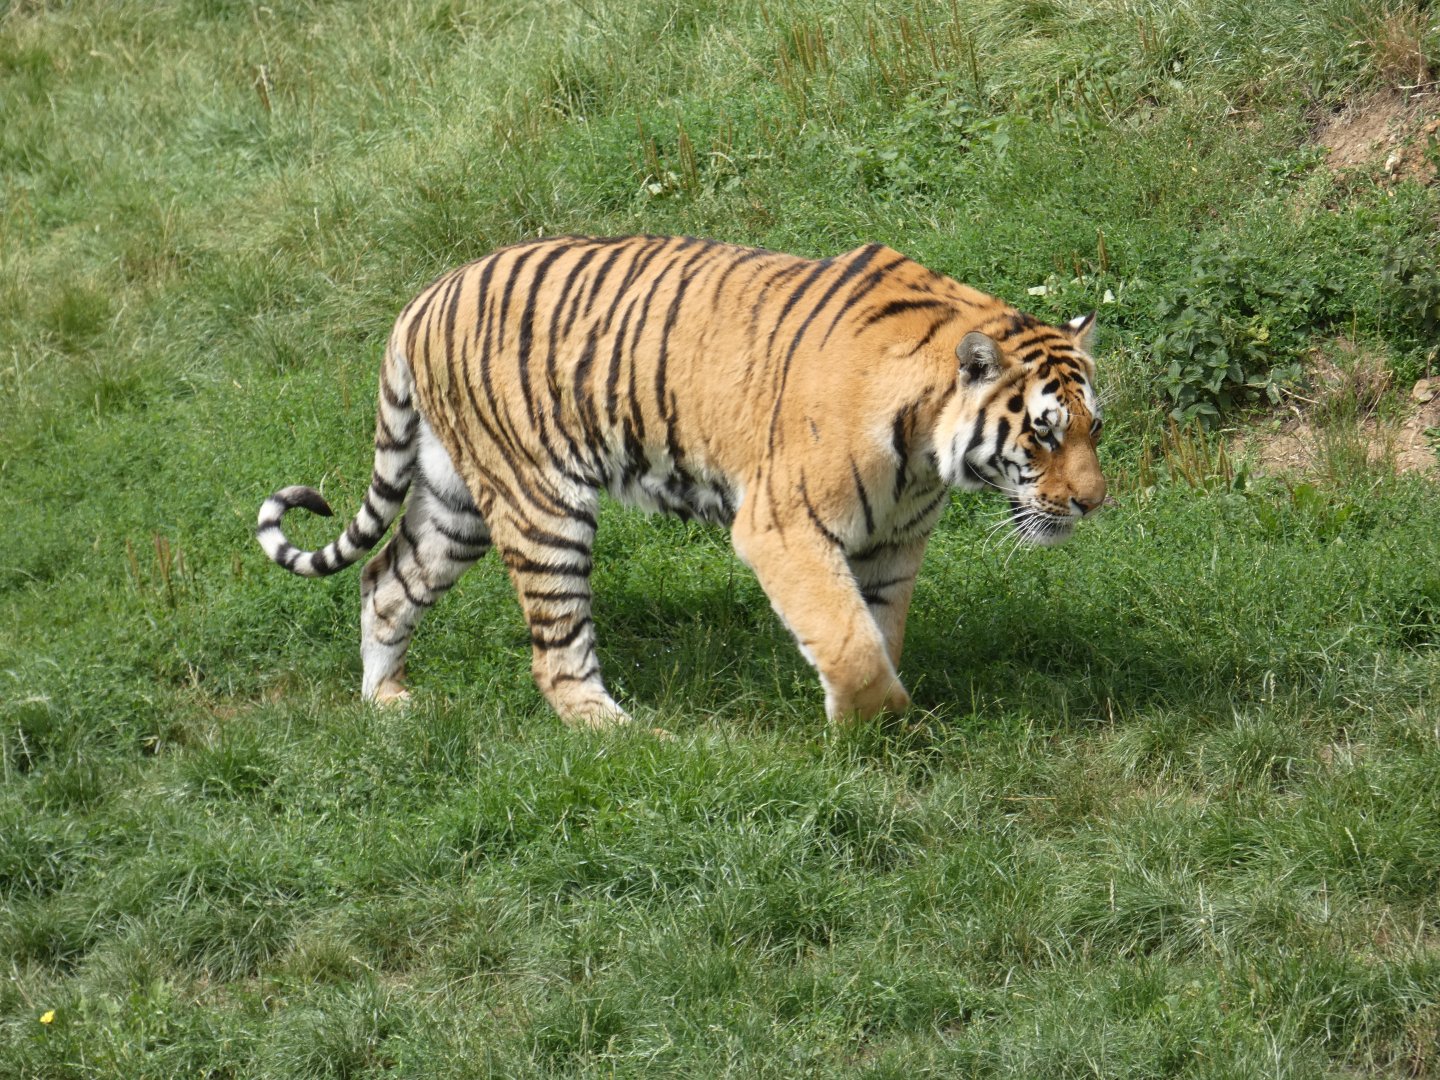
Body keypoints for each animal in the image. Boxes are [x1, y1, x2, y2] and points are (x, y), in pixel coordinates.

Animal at [256, 235, 1106, 727]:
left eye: (1093, 427)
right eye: (1042, 430)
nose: (1095, 503)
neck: (928, 451)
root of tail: (420, 301)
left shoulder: (893, 544)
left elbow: (876, 631)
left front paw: (881, 725)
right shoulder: (783, 526)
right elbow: (849, 640)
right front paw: (871, 729)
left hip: (455, 500)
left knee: (384, 580)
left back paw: (387, 703)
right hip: (541, 505)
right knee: (554, 652)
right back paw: (621, 735)